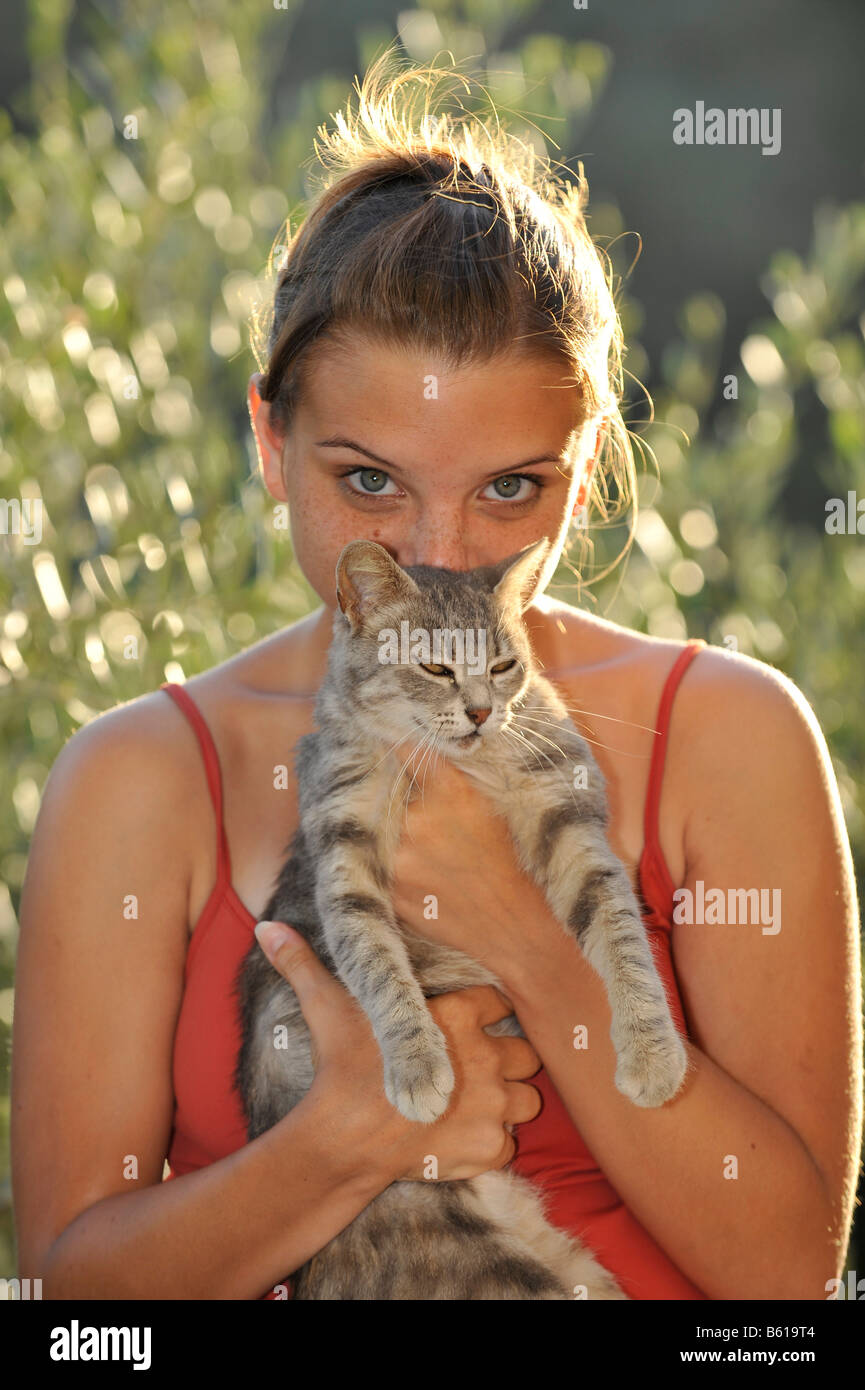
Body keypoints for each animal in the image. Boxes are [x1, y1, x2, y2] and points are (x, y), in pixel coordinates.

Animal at [232, 536, 692, 1295]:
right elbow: (374, 961)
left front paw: (652, 1050)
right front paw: (418, 1065)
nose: (479, 712)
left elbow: (623, 936)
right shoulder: (342, 852)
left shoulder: (567, 819)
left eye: (503, 666)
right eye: (435, 667)